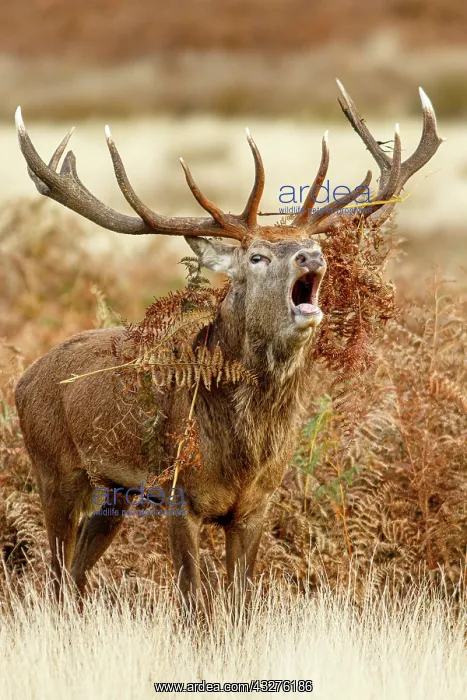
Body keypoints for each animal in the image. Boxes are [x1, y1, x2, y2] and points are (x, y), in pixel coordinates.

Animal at [14, 81, 443, 609]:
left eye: (310, 244)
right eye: (257, 256)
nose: (311, 255)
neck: (242, 452)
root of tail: (22, 380)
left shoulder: (256, 506)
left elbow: (241, 602)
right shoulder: (179, 493)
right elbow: (193, 603)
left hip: (116, 490)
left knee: (74, 574)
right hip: (54, 468)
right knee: (53, 575)